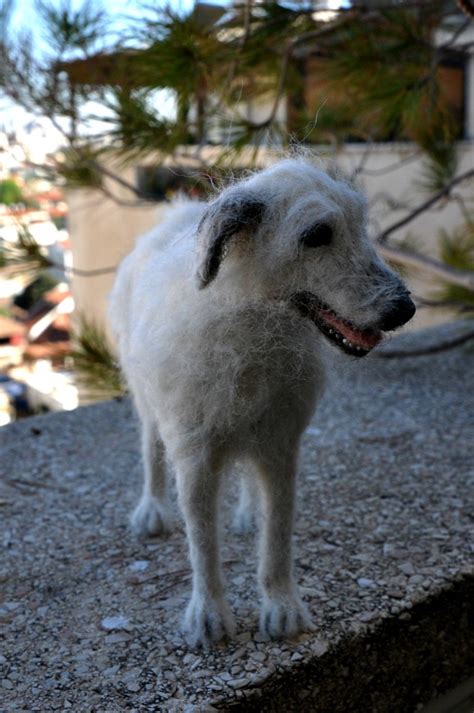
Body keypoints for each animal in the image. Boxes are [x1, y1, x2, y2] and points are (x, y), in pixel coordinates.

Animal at [107, 157, 414, 644]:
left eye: (358, 224)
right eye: (316, 235)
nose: (405, 310)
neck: (246, 324)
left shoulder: (281, 448)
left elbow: (278, 536)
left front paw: (282, 608)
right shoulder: (194, 459)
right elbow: (203, 542)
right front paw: (209, 614)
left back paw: (248, 512)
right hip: (146, 400)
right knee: (150, 448)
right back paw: (152, 509)